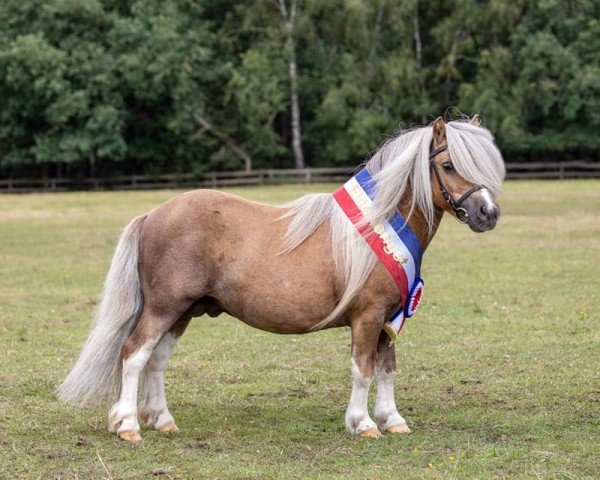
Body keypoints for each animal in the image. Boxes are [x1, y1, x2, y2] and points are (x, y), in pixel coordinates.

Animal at [57, 116, 506, 442]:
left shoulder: (388, 320)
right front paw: (362, 424)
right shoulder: (367, 317)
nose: (489, 213)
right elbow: (362, 369)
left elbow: (387, 369)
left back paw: (163, 419)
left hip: (183, 311)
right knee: (134, 354)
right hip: (164, 308)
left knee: (156, 359)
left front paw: (392, 419)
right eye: (448, 166)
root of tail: (153, 214)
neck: (379, 227)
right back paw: (129, 425)